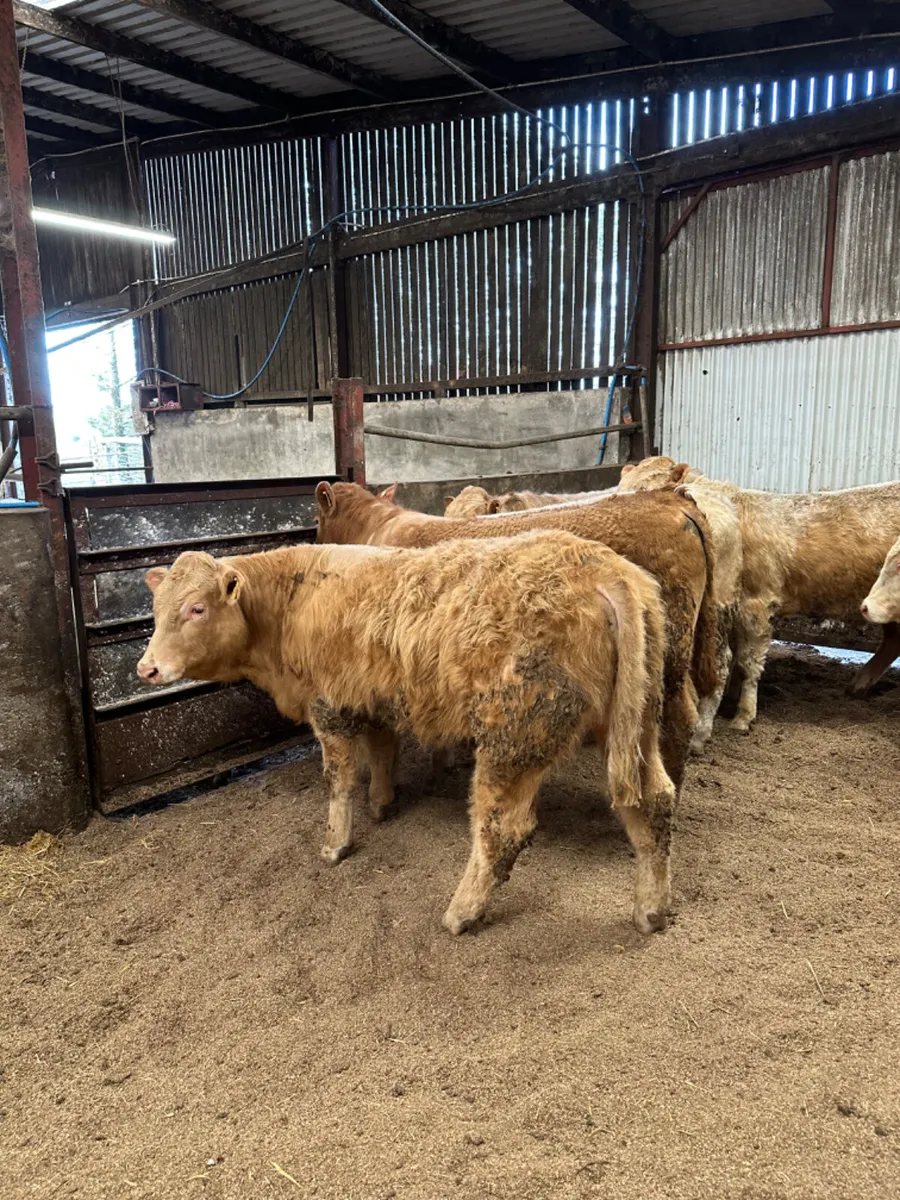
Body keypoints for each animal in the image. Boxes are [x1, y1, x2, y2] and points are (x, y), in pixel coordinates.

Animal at [137, 533, 677, 935]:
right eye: (156, 610)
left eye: (197, 608)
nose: (147, 668)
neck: (294, 600)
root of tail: (601, 566)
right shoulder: (374, 698)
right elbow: (383, 752)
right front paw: (383, 802)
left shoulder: (329, 705)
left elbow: (338, 778)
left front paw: (335, 844)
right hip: (635, 724)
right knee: (652, 802)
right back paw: (650, 910)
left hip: (514, 737)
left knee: (501, 830)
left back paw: (461, 913)